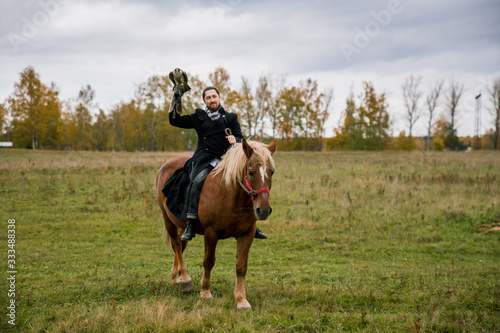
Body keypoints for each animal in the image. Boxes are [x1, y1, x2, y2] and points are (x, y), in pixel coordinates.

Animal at [154, 138, 276, 308]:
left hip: (182, 225)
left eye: (271, 172)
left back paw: (176, 277)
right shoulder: (211, 233)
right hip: (168, 219)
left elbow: (241, 266)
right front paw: (205, 292)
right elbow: (208, 261)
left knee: (180, 244)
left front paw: (241, 300)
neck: (230, 196)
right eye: (251, 172)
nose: (263, 210)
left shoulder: (247, 233)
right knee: (177, 245)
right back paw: (184, 279)